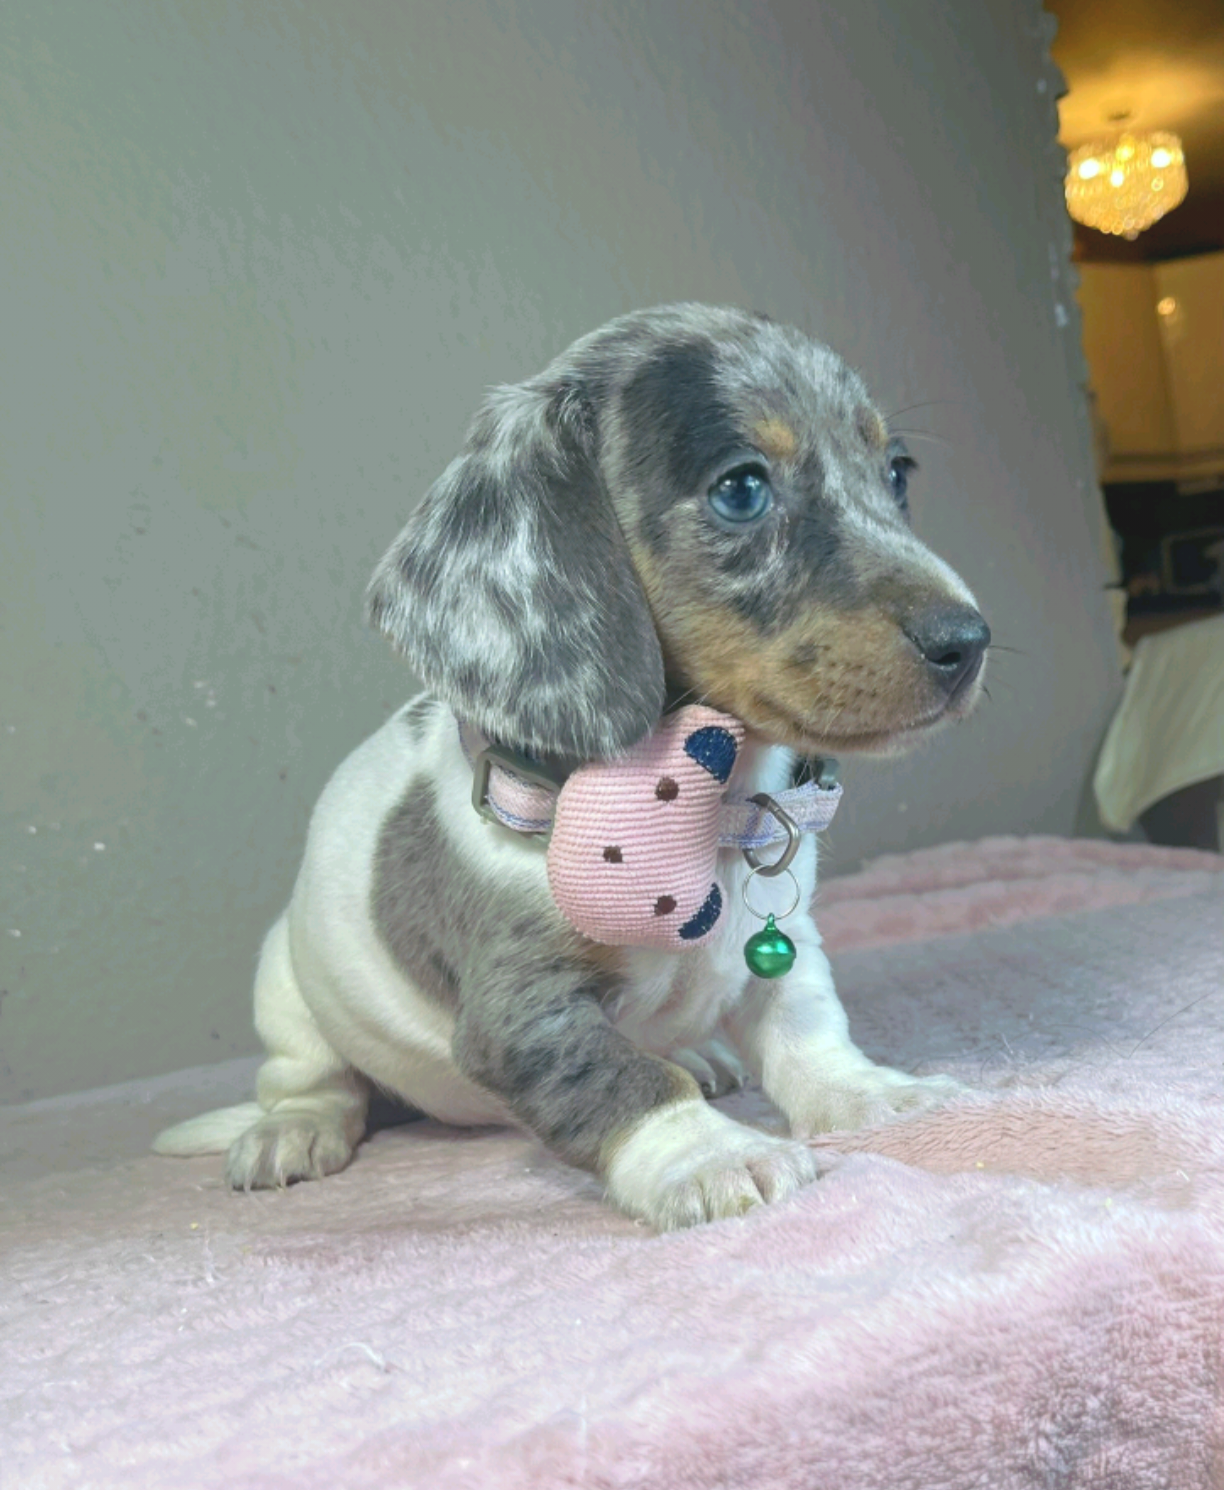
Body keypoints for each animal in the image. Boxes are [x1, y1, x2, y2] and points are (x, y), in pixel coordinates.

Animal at [154, 304, 989, 1230]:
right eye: (741, 489)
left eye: (896, 472)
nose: (968, 641)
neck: (699, 804)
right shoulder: (524, 1014)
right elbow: (620, 1078)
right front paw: (707, 1155)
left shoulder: (789, 945)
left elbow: (808, 1029)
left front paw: (873, 1095)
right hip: (286, 989)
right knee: (314, 1080)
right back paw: (292, 1130)